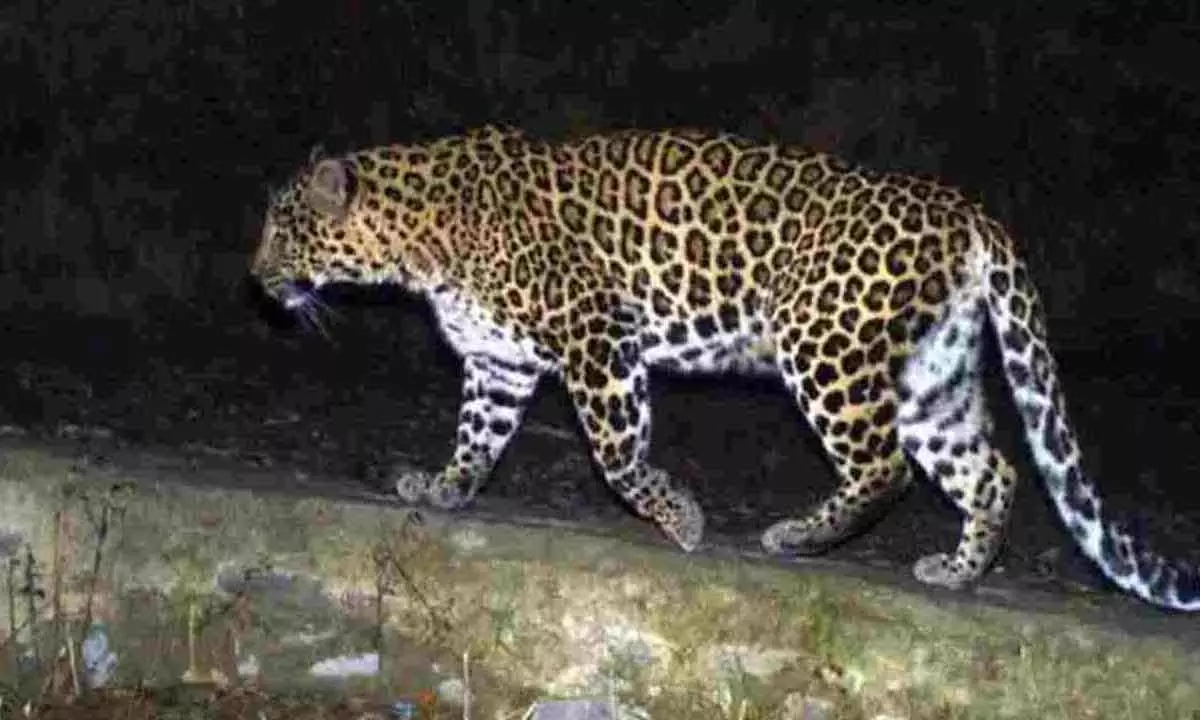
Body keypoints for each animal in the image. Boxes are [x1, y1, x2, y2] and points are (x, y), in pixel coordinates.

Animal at [250, 125, 1198, 612]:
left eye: (282, 230)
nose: (256, 280)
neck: (416, 239)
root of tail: (966, 211)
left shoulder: (596, 333)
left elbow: (617, 452)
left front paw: (681, 519)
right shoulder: (498, 361)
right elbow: (476, 437)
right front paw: (445, 489)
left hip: (825, 342)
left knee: (883, 466)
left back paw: (799, 537)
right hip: (934, 375)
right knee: (991, 470)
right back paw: (958, 572)